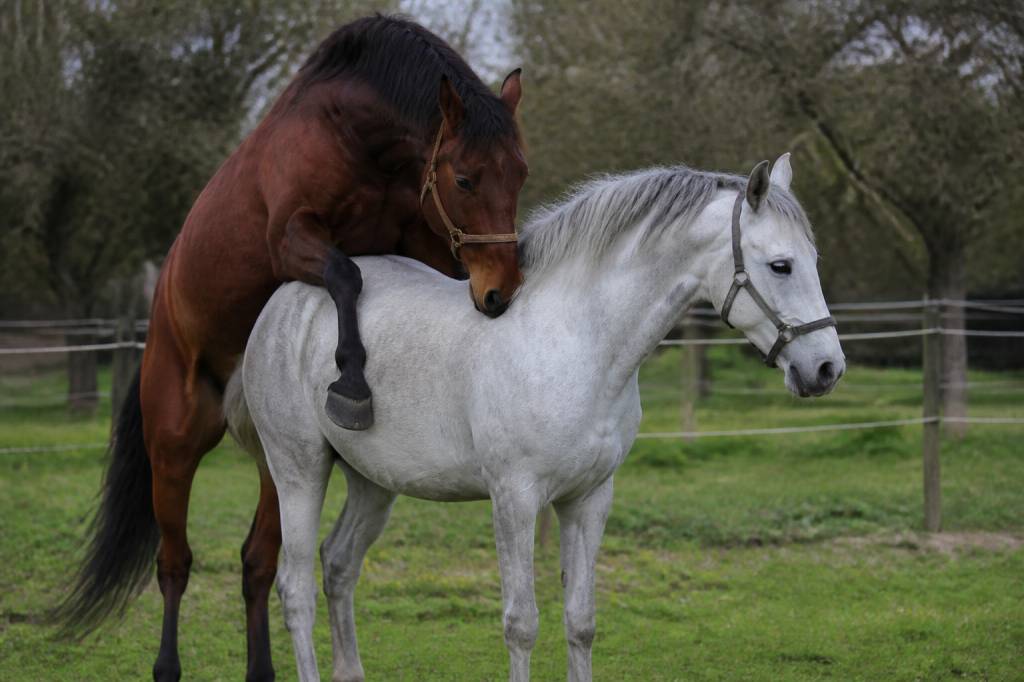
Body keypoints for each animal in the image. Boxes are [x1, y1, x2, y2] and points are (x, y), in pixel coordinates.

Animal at [53, 16, 527, 682]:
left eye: (520, 173)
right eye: (464, 178)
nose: (499, 293)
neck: (352, 135)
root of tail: (157, 330)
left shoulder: (417, 236)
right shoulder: (293, 239)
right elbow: (347, 276)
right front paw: (351, 385)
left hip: (276, 465)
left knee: (256, 561)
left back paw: (262, 669)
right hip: (174, 449)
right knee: (174, 562)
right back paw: (168, 665)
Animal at [225, 154, 846, 682]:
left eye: (814, 261)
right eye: (781, 265)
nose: (826, 368)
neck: (577, 341)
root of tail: (283, 305)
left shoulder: (589, 499)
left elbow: (581, 621)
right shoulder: (516, 498)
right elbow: (521, 624)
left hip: (372, 482)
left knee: (338, 566)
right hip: (299, 471)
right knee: (296, 589)